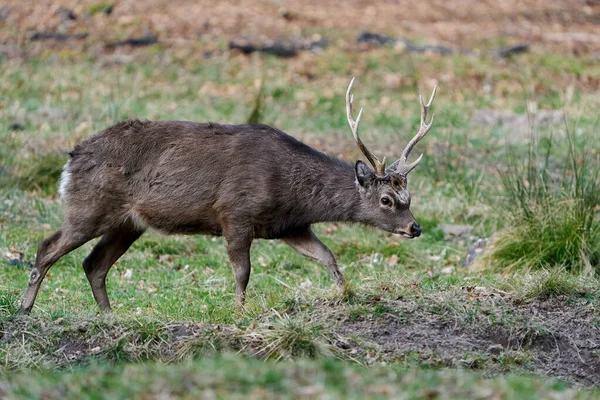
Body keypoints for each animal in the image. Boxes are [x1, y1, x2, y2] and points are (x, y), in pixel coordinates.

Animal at [18, 79, 436, 314]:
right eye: (386, 200)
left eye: (409, 196)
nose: (415, 228)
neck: (290, 190)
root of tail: (71, 159)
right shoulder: (236, 212)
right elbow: (242, 271)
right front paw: (238, 311)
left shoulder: (290, 226)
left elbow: (327, 257)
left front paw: (345, 295)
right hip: (88, 206)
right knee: (47, 246)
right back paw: (25, 309)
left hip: (128, 223)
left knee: (94, 264)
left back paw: (109, 316)